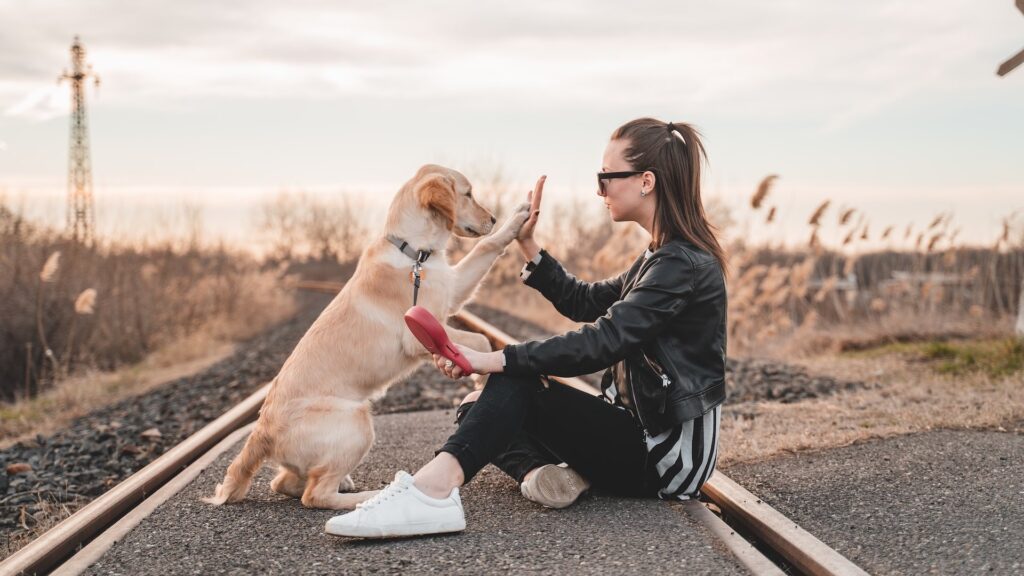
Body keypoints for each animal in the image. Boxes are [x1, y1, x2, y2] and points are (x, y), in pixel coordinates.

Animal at [204, 162, 532, 506]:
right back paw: (370, 496)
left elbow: (487, 245)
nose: (493, 218)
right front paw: (482, 378)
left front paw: (518, 217)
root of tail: (261, 432)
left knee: (282, 483)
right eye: (468, 194)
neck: (414, 253)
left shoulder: (452, 290)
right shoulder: (418, 332)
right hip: (357, 421)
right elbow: (480, 339)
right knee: (315, 495)